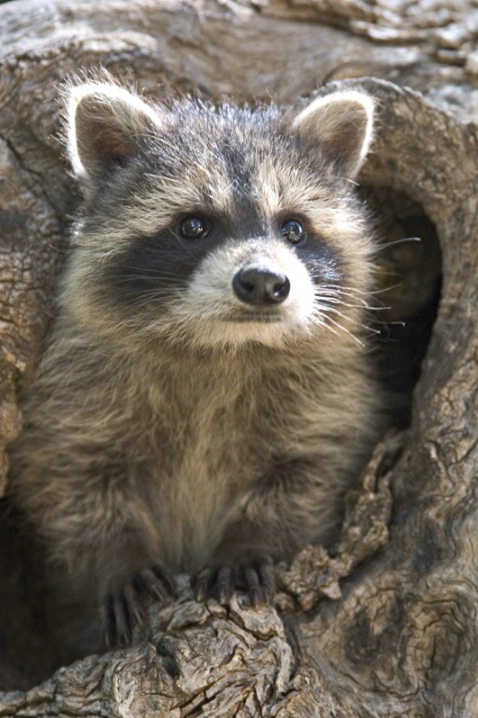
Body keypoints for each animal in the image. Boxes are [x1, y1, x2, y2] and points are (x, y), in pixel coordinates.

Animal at [7, 81, 380, 656]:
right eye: (193, 225)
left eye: (294, 228)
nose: (265, 282)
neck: (224, 347)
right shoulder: (75, 387)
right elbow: (69, 477)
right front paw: (120, 556)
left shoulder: (327, 392)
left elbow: (308, 471)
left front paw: (250, 541)